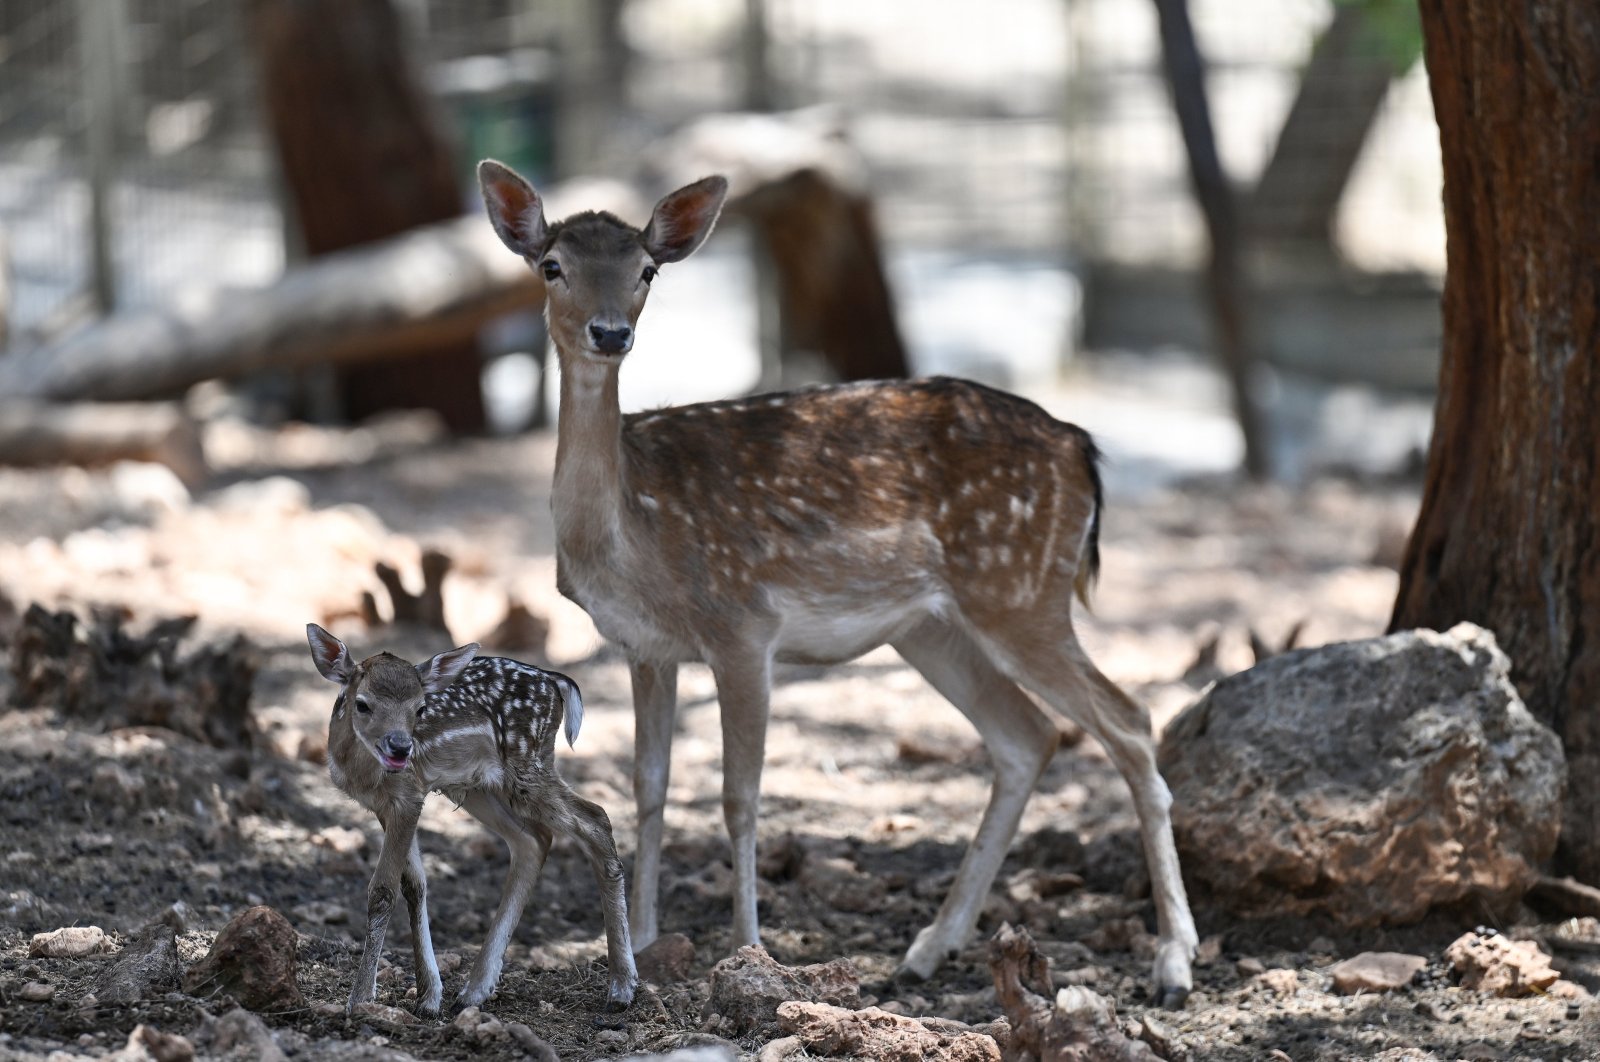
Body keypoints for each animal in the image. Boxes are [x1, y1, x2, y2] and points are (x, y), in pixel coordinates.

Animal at [476, 159, 1203, 1004]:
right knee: (1027, 737)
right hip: (933, 626)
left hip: (1019, 590)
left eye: (647, 270)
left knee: (1129, 720)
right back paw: (929, 949)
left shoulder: (742, 625)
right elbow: (649, 786)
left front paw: (748, 949)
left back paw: (1174, 961)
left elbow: (739, 795)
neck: (630, 535)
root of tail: (1082, 451)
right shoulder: (645, 647)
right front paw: (648, 940)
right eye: (551, 265)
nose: (610, 333)